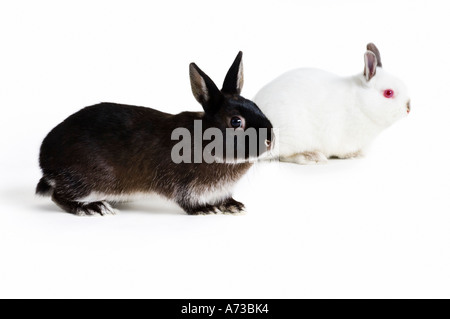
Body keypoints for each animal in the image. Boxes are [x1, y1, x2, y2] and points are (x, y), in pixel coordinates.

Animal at [35, 52, 272, 216]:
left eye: (256, 106)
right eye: (236, 121)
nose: (270, 140)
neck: (205, 140)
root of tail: (45, 159)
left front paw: (234, 205)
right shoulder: (184, 185)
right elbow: (187, 201)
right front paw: (205, 210)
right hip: (85, 179)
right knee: (59, 195)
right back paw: (93, 208)